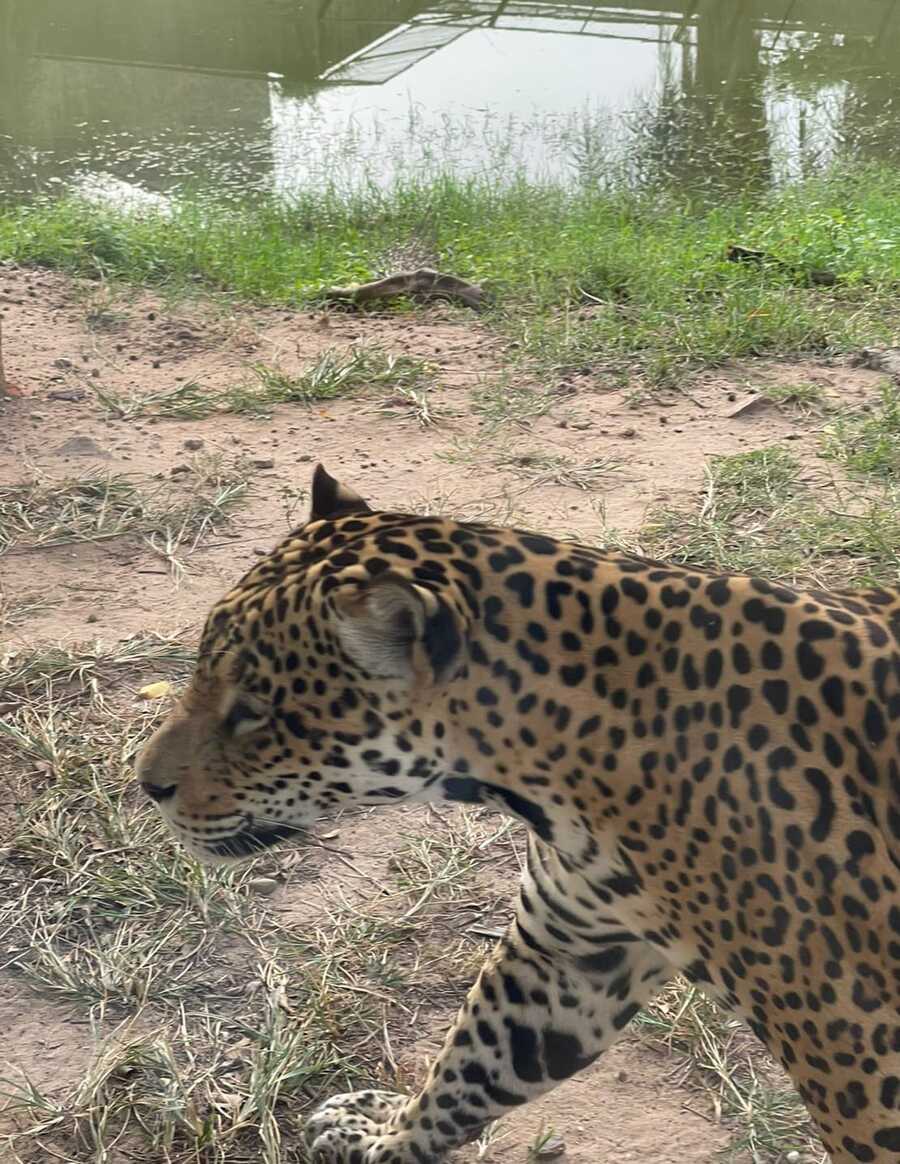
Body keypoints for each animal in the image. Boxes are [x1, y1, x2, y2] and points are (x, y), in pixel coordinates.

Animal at [137, 463, 900, 1163]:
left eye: (254, 712)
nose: (146, 785)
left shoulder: (859, 1057)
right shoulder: (569, 951)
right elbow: (472, 1066)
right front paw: (377, 1135)